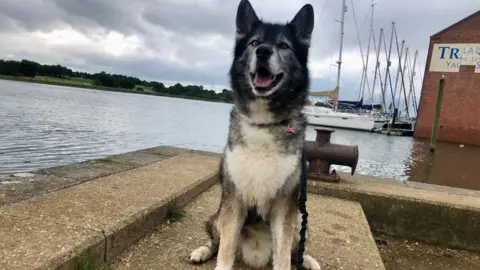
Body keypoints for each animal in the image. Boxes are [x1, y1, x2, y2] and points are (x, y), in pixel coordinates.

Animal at [189, 1, 320, 268]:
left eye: (284, 45)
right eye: (254, 42)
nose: (263, 51)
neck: (263, 123)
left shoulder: (284, 206)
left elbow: (284, 256)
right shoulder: (234, 200)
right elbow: (225, 250)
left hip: (300, 220)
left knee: (297, 250)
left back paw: (309, 260)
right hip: (219, 215)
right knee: (214, 239)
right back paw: (202, 251)